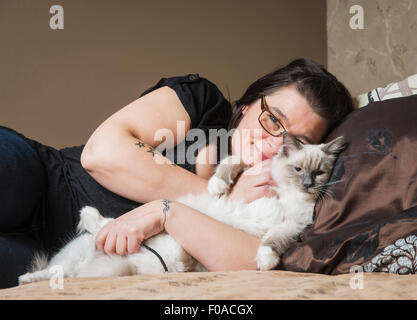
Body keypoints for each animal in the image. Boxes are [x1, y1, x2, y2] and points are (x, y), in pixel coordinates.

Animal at [18, 133, 344, 284]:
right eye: (298, 169)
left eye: (319, 173)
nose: (307, 185)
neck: (285, 192)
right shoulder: (250, 167)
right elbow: (231, 163)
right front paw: (218, 186)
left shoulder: (294, 225)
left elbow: (272, 242)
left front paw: (265, 261)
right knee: (96, 235)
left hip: (157, 259)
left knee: (64, 273)